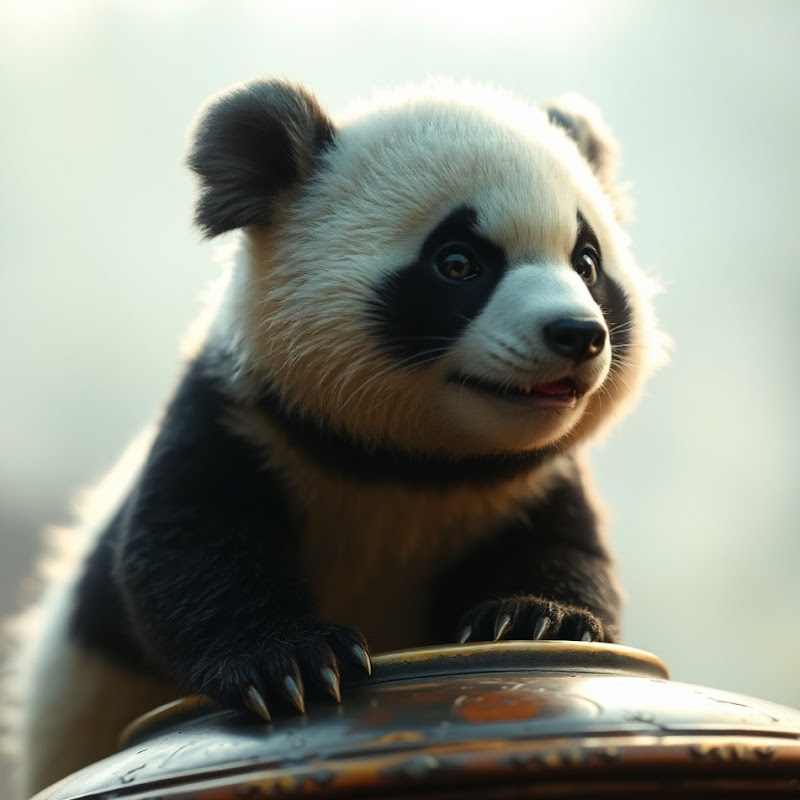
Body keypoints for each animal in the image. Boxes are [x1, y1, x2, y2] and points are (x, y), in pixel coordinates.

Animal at [6, 77, 664, 797]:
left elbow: (567, 549)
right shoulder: (240, 419)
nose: (577, 335)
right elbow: (185, 541)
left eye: (587, 263)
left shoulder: (530, 480)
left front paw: (535, 617)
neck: (407, 468)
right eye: (458, 263)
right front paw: (289, 663)